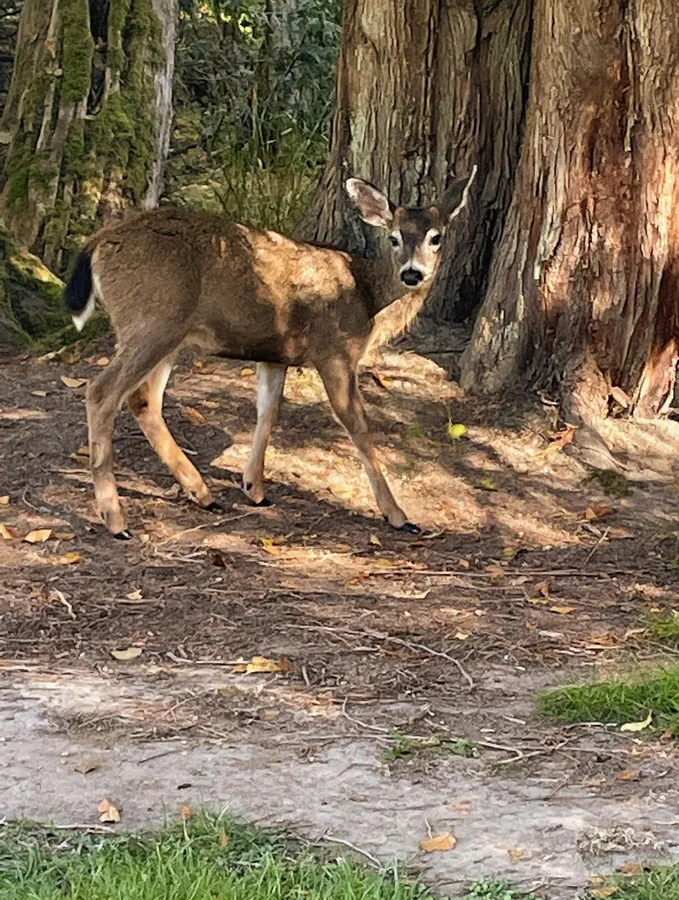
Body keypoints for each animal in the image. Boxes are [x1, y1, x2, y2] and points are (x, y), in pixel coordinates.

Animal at [63, 168, 477, 540]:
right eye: (393, 238)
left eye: (436, 237)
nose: (412, 273)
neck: (368, 297)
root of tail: (99, 242)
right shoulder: (335, 352)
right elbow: (357, 424)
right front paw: (398, 515)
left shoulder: (276, 353)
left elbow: (268, 409)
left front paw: (254, 488)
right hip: (152, 321)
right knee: (102, 392)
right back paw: (116, 520)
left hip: (167, 333)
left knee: (143, 399)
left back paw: (202, 494)